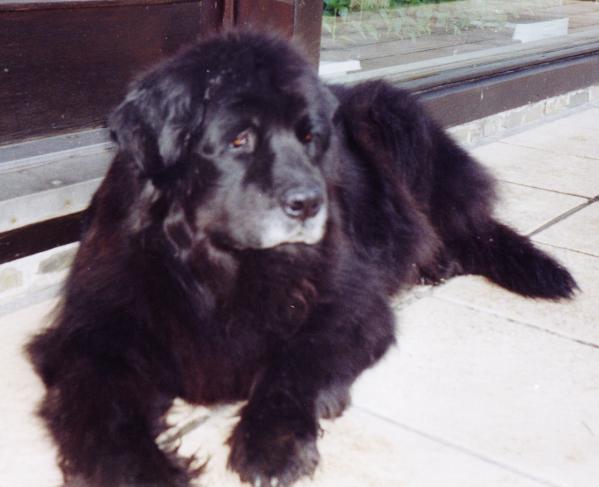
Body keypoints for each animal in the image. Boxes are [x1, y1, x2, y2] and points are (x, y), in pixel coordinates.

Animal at [25, 31, 580, 487]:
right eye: (239, 139)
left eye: (310, 137)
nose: (310, 203)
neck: (217, 265)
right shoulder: (96, 325)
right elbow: (105, 405)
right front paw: (142, 471)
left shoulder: (350, 304)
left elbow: (295, 361)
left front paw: (272, 445)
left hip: (393, 120)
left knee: (464, 229)